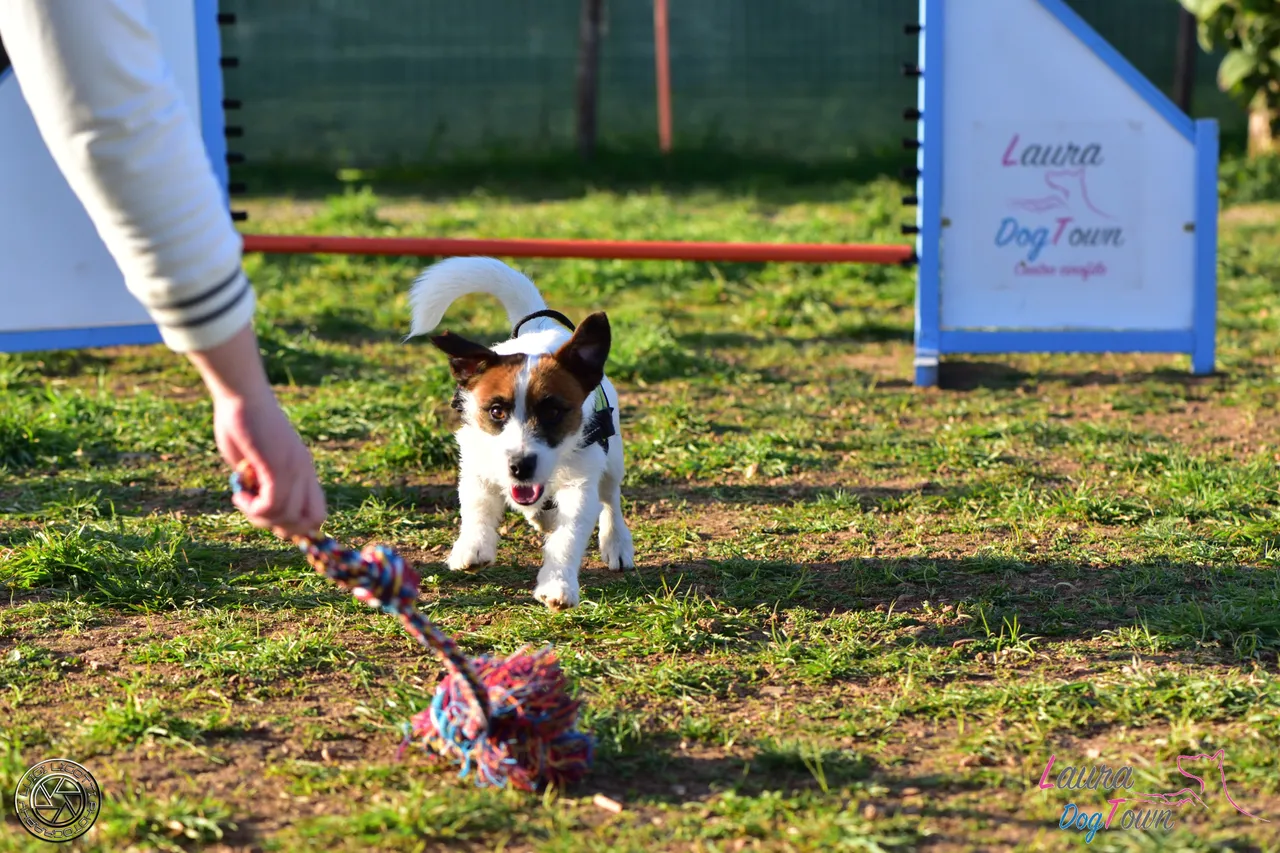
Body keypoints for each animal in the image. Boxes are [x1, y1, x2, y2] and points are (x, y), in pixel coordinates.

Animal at [404, 256, 634, 607]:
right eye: (496, 411)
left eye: (553, 412)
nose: (520, 466)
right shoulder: (477, 463)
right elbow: (476, 506)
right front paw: (473, 546)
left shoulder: (580, 482)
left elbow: (569, 535)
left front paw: (558, 584)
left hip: (612, 457)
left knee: (610, 497)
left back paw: (616, 542)